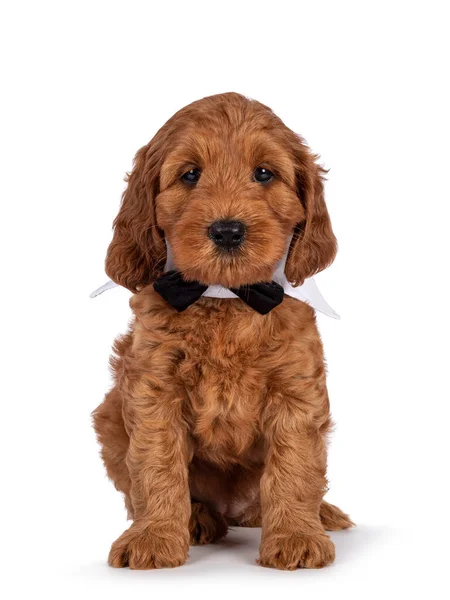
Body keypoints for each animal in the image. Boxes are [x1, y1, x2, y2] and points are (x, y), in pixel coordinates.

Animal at [93, 92, 354, 572]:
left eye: (264, 173)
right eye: (190, 174)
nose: (228, 230)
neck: (227, 297)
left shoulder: (295, 391)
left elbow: (295, 466)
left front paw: (296, 535)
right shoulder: (153, 389)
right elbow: (156, 464)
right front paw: (154, 537)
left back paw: (319, 514)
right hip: (109, 416)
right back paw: (197, 519)